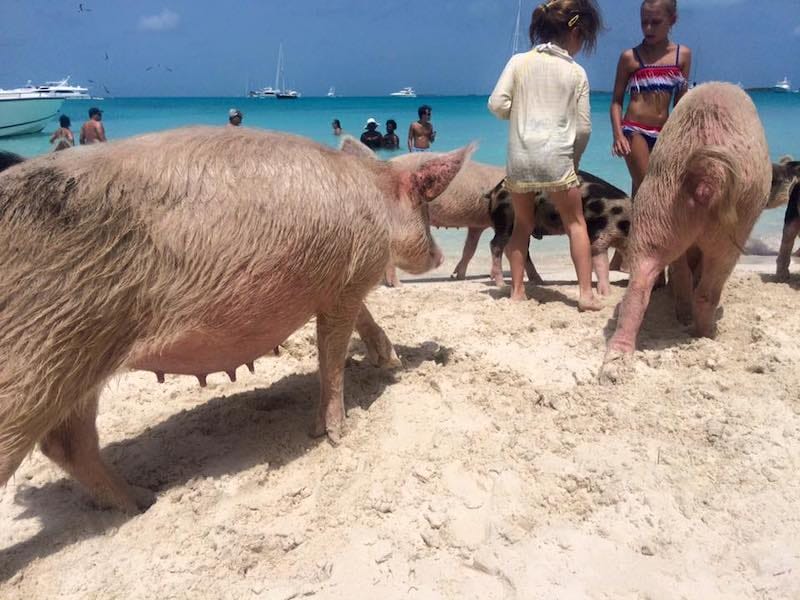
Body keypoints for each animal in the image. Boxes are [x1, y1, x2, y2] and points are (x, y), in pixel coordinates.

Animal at [0, 126, 472, 510]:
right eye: (425, 208)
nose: (439, 255)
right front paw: (335, 435)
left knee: (66, 443)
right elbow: (332, 358)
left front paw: (389, 360)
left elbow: (362, 320)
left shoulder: (340, 287)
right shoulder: (351, 278)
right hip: (38, 353)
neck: (376, 194)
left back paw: (143, 500)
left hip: (77, 360)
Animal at [608, 80, 772, 360]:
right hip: (736, 227)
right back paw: (707, 333)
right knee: (707, 291)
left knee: (639, 286)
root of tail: (707, 176)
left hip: (658, 208)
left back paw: (617, 356)